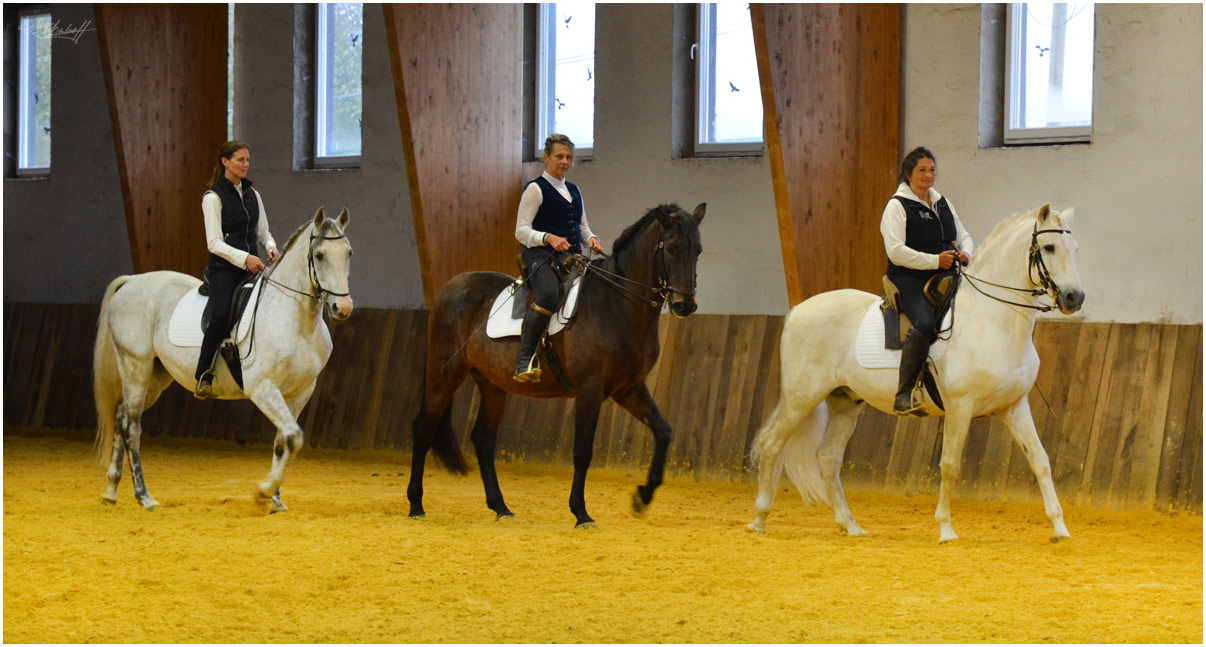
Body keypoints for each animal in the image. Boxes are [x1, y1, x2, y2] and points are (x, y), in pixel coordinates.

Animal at [92, 207, 352, 509]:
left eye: (348, 253)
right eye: (319, 255)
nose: (342, 307)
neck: (295, 319)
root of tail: (132, 281)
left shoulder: (300, 392)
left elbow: (283, 442)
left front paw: (275, 501)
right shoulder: (263, 388)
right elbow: (293, 436)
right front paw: (264, 491)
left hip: (155, 377)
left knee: (121, 417)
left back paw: (111, 491)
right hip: (136, 367)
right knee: (131, 427)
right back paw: (144, 496)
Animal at [410, 202, 704, 526]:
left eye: (698, 250)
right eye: (672, 248)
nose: (685, 305)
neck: (617, 305)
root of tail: (450, 286)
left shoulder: (629, 389)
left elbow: (663, 431)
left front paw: (643, 496)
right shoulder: (590, 390)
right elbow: (583, 451)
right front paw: (581, 512)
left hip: (492, 384)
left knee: (483, 439)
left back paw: (501, 508)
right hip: (444, 376)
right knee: (423, 429)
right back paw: (416, 505)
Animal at [752, 205, 1085, 543]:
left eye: (1075, 249)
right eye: (1049, 247)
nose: (1074, 298)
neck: (990, 319)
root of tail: (797, 310)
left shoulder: (1014, 407)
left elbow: (1040, 461)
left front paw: (1060, 530)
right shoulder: (960, 408)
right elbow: (949, 464)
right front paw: (946, 529)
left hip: (845, 402)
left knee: (828, 458)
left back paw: (851, 525)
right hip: (801, 398)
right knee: (771, 443)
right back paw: (759, 520)